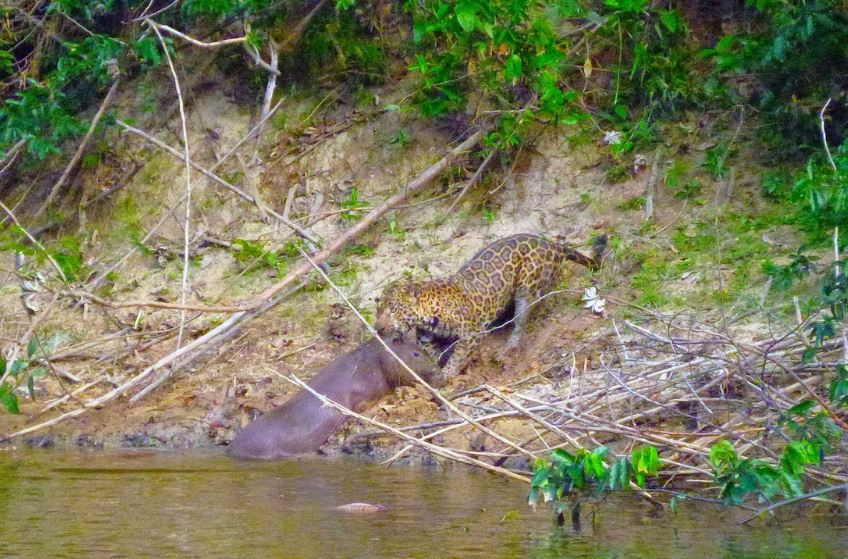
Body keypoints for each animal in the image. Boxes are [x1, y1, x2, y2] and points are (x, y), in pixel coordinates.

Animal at [375, 233, 605, 377]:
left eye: (393, 309)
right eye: (378, 312)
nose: (378, 328)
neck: (428, 312)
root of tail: (552, 244)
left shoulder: (471, 334)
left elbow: (458, 357)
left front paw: (449, 373)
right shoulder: (426, 340)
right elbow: (433, 355)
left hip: (526, 285)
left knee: (524, 315)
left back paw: (509, 345)